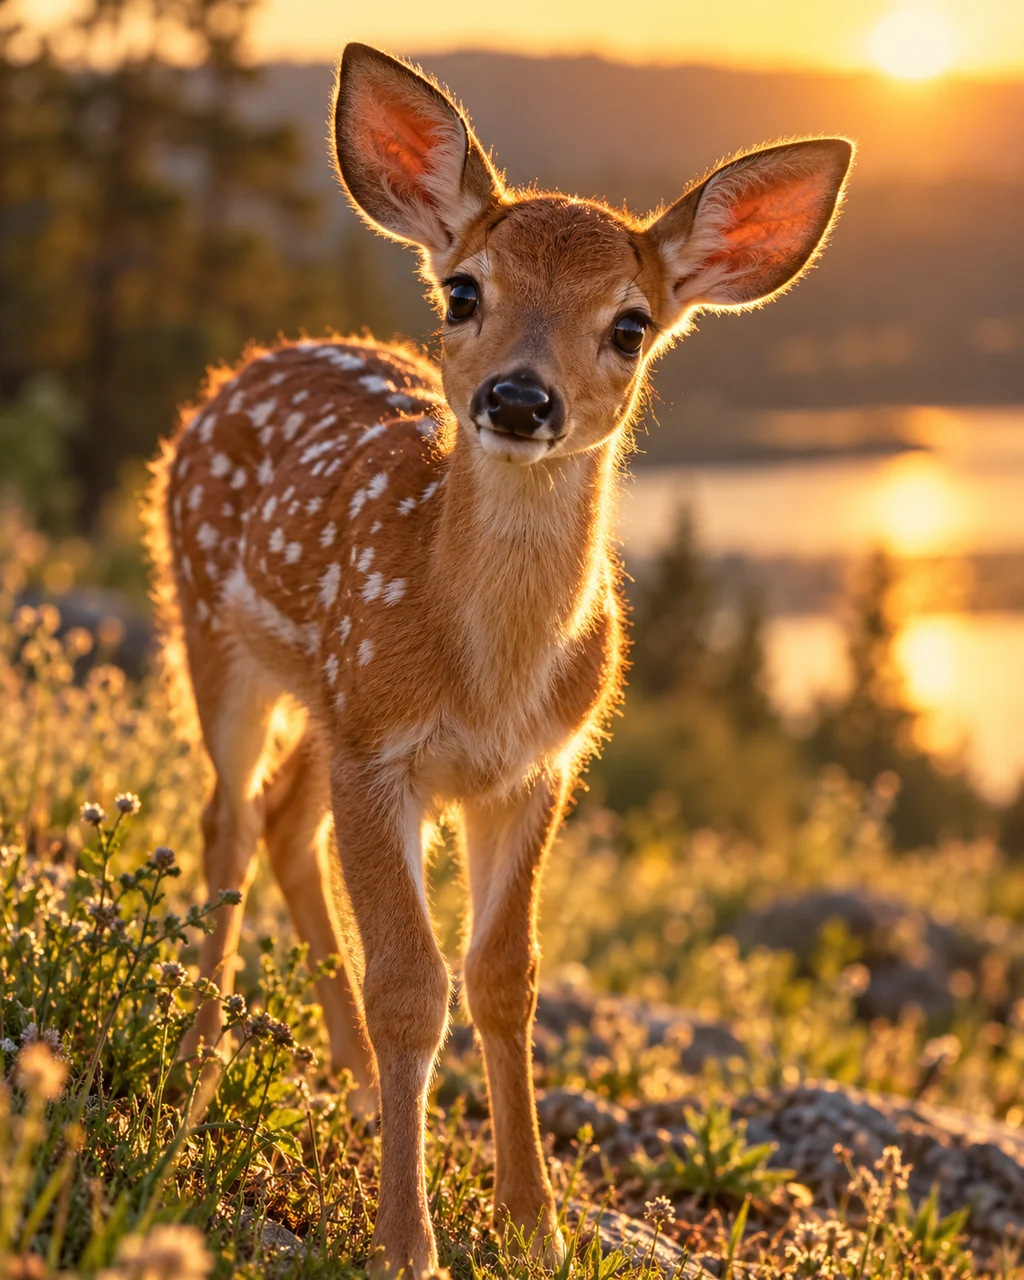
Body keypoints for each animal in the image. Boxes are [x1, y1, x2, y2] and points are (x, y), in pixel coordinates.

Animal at [146, 41, 852, 1278]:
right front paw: (404, 1238)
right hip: (211, 624)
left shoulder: (534, 765)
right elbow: (412, 984)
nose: (519, 398)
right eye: (464, 291)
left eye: (630, 323)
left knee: (283, 820)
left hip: (322, 696)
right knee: (226, 817)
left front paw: (533, 1221)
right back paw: (199, 1053)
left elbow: (503, 978)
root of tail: (237, 373)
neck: (488, 676)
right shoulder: (382, 747)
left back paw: (347, 1080)